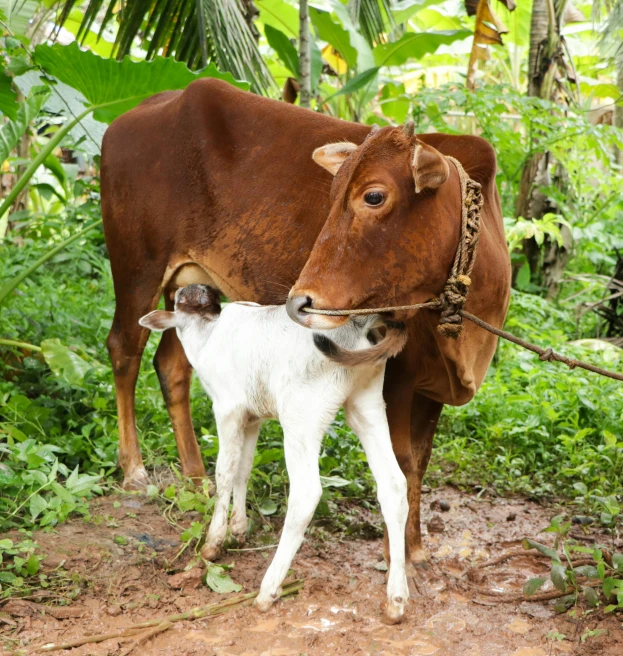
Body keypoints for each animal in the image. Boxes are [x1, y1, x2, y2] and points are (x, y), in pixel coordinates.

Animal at [102, 78, 512, 564]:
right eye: (331, 195)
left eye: (373, 195)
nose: (300, 301)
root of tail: (138, 111)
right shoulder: (398, 374)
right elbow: (404, 459)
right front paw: (400, 549)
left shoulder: (434, 385)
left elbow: (421, 460)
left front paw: (414, 547)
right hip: (137, 269)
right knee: (124, 350)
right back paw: (134, 468)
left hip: (191, 285)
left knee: (171, 365)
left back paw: (196, 478)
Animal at [140, 284, 410, 624]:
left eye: (179, 298)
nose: (201, 288)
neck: (207, 332)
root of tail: (359, 324)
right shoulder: (252, 416)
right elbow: (243, 468)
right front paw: (239, 528)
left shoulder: (227, 408)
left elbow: (225, 471)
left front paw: (214, 542)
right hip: (366, 402)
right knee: (394, 485)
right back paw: (396, 599)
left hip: (302, 415)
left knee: (306, 493)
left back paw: (268, 589)